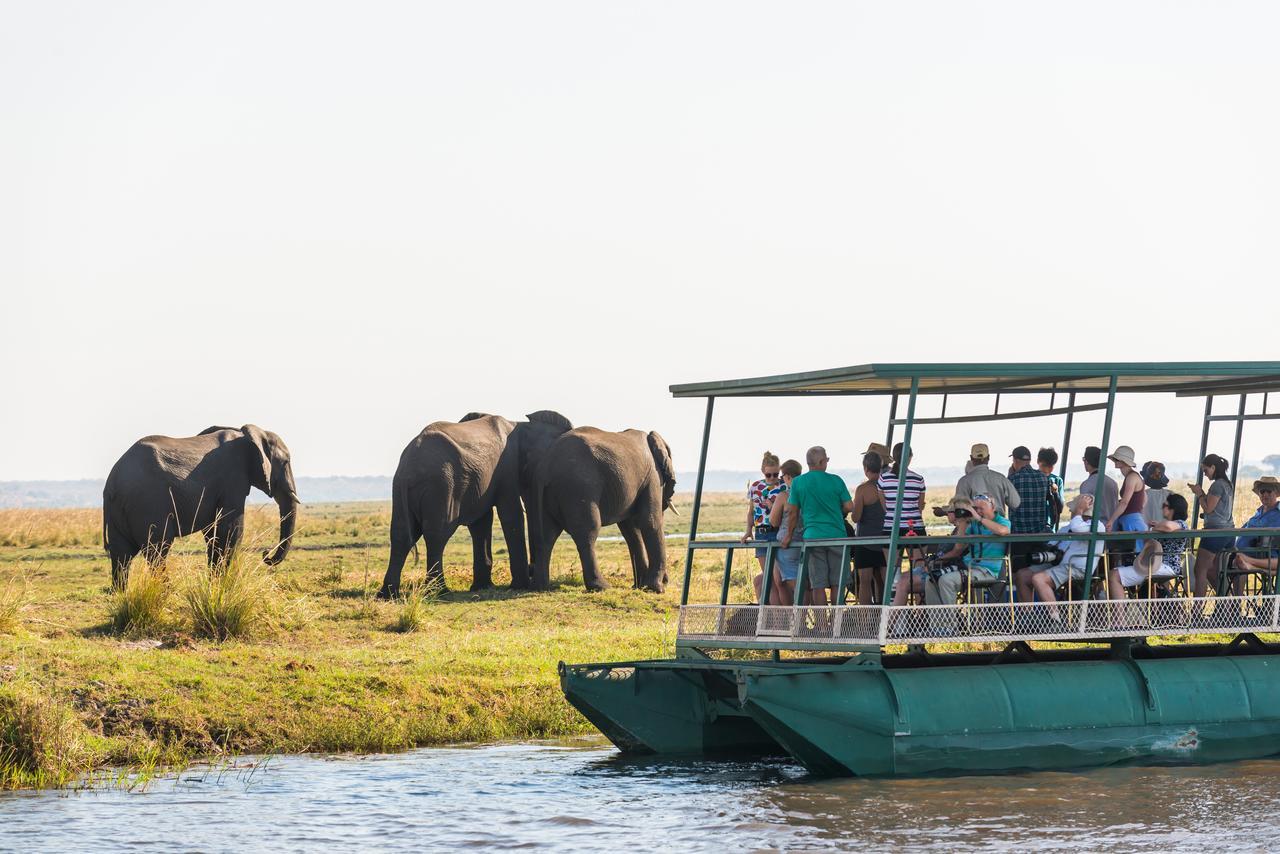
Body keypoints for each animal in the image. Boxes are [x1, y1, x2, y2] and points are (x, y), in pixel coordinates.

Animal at [102, 425, 299, 588]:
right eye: (286, 462)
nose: (266, 555)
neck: (247, 434)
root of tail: (111, 483)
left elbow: (213, 533)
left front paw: (214, 584)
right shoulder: (233, 480)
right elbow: (231, 530)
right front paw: (223, 584)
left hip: (119, 511)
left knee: (121, 556)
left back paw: (122, 595)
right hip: (148, 503)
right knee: (157, 550)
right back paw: (166, 591)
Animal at [376, 409, 573, 599]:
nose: (532, 571)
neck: (520, 424)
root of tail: (409, 469)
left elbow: (481, 522)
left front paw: (482, 586)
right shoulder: (506, 468)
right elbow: (511, 514)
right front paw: (519, 586)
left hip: (400, 489)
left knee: (401, 534)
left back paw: (387, 594)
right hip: (441, 485)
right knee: (437, 534)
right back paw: (439, 592)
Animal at [529, 427, 675, 594]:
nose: (666, 580)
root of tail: (545, 468)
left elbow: (630, 529)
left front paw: (639, 587)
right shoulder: (652, 476)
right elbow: (649, 521)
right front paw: (655, 589)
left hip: (543, 493)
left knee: (546, 536)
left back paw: (540, 587)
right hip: (578, 488)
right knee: (588, 532)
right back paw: (601, 587)